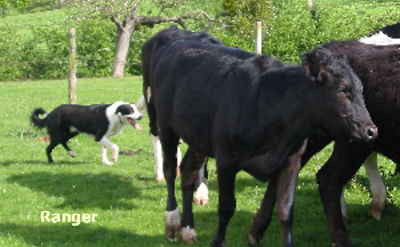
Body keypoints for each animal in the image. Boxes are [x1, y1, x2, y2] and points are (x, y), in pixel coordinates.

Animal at [142, 27, 376, 247]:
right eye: (343, 90)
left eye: (361, 89)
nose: (371, 130)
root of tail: (175, 36)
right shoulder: (226, 160)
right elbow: (226, 207)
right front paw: (217, 242)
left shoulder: (290, 161)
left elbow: (286, 211)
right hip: (166, 126)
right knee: (170, 170)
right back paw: (172, 221)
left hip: (198, 136)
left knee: (188, 172)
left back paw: (188, 229)